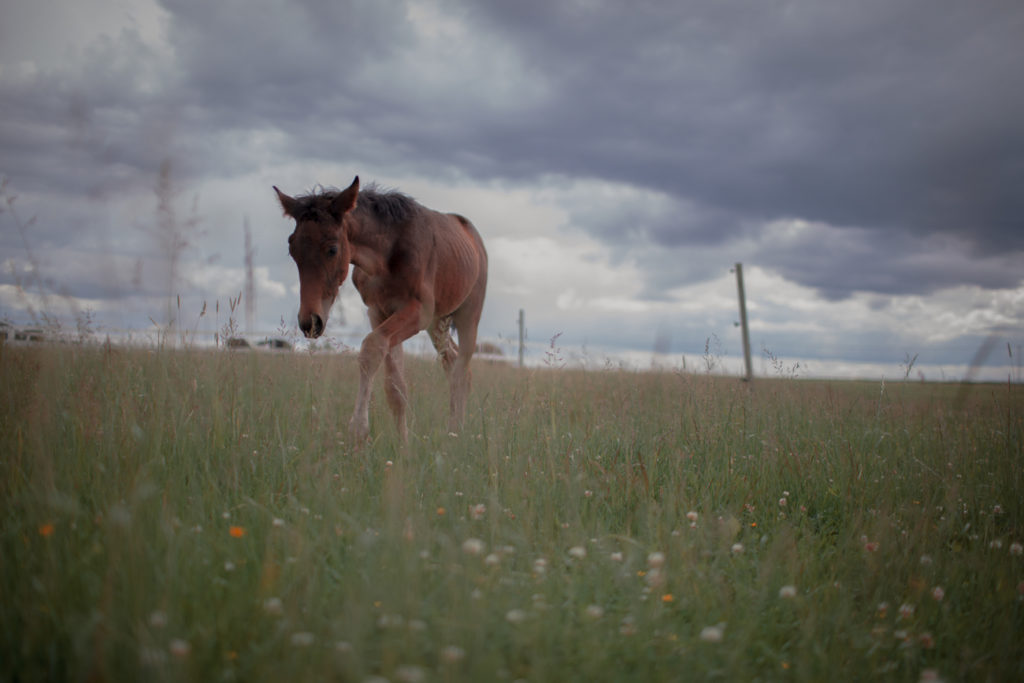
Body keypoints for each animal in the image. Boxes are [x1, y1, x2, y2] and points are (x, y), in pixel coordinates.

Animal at [276, 178, 487, 444]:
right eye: (292, 250)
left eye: (332, 249)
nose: (310, 322)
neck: (387, 254)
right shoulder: (379, 312)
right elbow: (396, 387)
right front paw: (403, 446)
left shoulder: (418, 312)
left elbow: (371, 347)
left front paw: (358, 430)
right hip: (437, 324)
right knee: (452, 362)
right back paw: (453, 431)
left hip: (468, 316)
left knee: (461, 372)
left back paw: (455, 435)